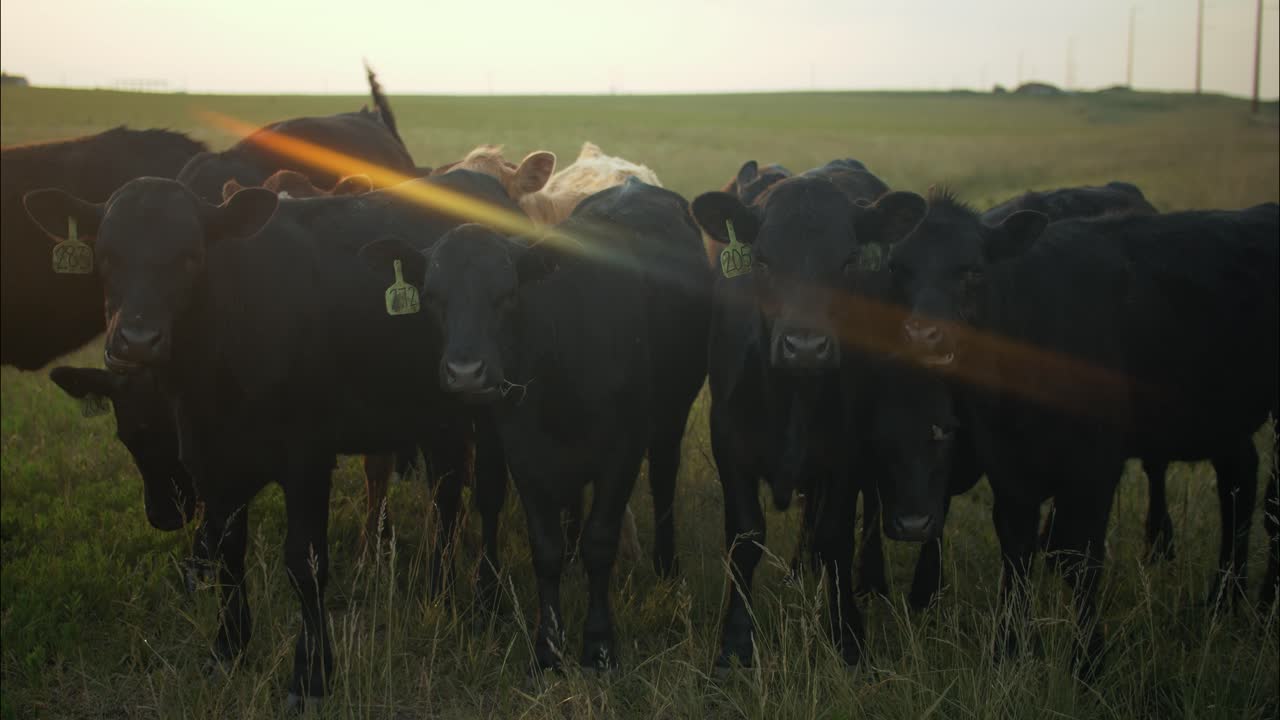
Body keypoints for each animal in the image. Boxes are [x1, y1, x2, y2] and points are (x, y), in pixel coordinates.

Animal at [22, 169, 522, 708]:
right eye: (106, 254)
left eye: (191, 255)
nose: (136, 340)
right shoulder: (212, 462)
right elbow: (226, 552)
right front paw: (227, 650)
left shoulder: (306, 459)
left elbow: (304, 563)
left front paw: (311, 676)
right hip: (435, 416)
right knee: (445, 496)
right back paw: (438, 594)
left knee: (484, 496)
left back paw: (485, 601)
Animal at [360, 177, 710, 672]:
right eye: (431, 297)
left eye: (508, 294)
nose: (466, 371)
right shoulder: (525, 454)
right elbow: (545, 548)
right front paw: (548, 645)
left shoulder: (622, 452)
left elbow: (600, 542)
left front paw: (598, 644)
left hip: (672, 414)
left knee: (664, 480)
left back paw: (667, 567)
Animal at [690, 160, 926, 669]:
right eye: (761, 260)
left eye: (849, 261)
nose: (805, 346)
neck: (790, 394)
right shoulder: (729, 441)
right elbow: (745, 537)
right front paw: (735, 644)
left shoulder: (847, 449)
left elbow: (835, 535)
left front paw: (848, 635)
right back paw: (799, 570)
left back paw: (868, 580)